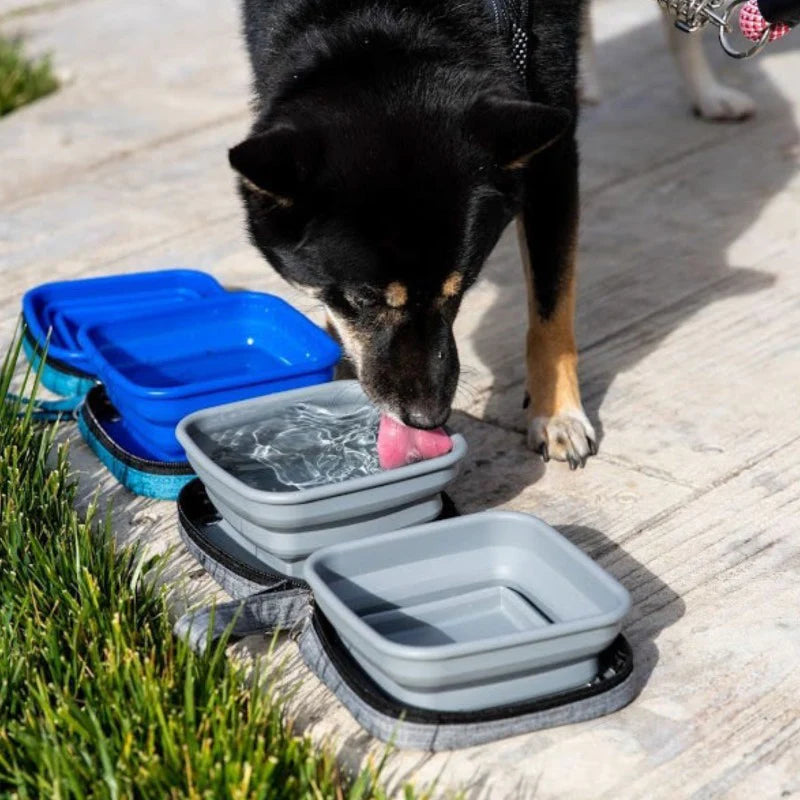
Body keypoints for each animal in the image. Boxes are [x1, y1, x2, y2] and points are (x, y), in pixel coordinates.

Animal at [228, 0, 596, 466]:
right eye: (363, 299)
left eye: (462, 287)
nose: (427, 417)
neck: (383, 16)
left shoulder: (553, 156)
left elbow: (552, 304)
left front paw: (557, 415)